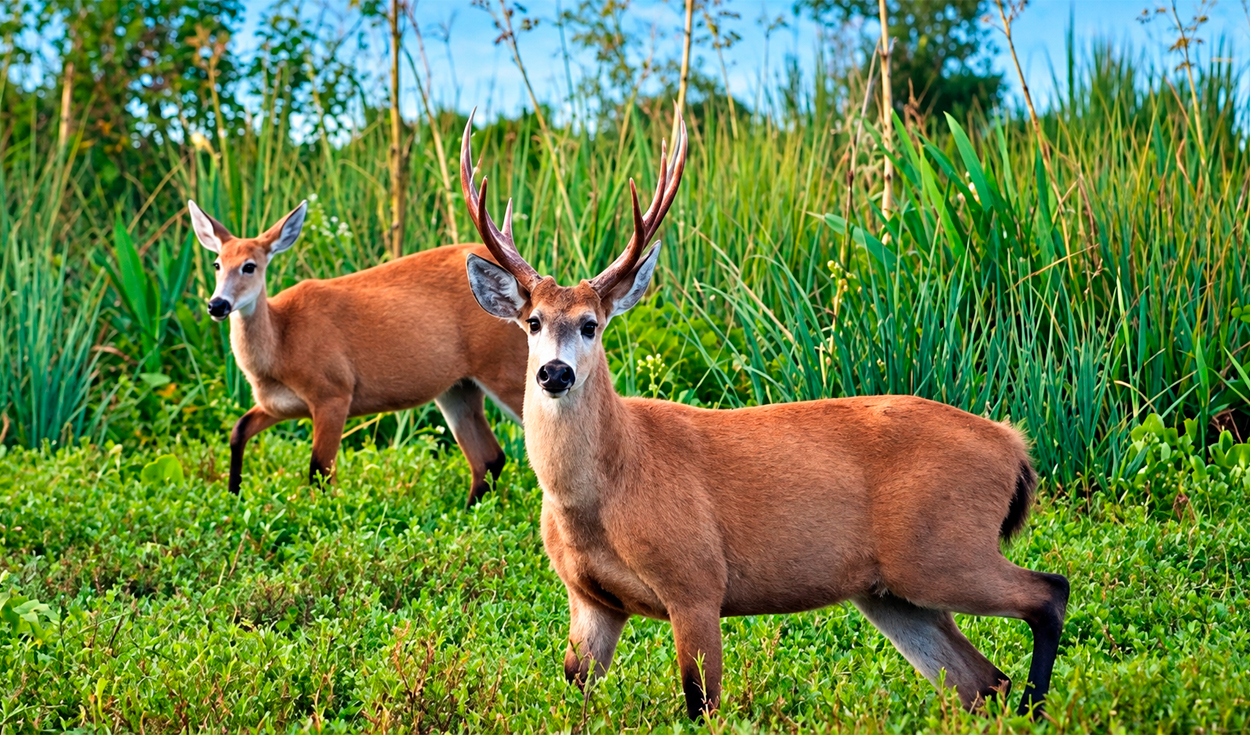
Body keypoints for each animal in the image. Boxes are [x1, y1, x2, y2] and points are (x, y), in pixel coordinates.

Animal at [187, 199, 528, 507]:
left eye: (249, 266)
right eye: (217, 264)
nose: (217, 305)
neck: (282, 343)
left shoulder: (333, 392)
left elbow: (319, 470)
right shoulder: (279, 405)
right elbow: (238, 430)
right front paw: (233, 495)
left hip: (506, 370)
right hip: (457, 388)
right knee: (489, 458)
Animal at [458, 109, 1069, 721]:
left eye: (591, 324)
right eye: (533, 321)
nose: (554, 374)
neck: (606, 487)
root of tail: (1014, 446)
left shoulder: (696, 580)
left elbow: (701, 702)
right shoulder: (590, 600)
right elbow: (574, 691)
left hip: (943, 548)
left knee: (1048, 593)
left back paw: (1040, 706)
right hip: (893, 591)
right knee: (984, 681)